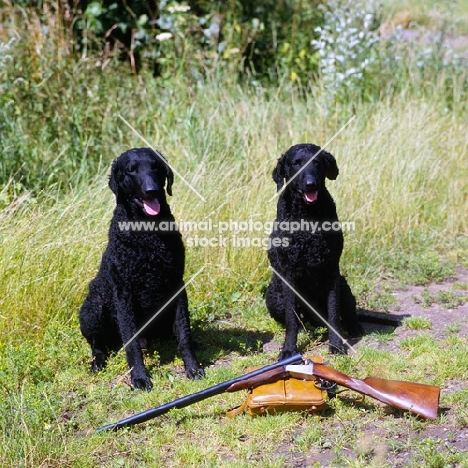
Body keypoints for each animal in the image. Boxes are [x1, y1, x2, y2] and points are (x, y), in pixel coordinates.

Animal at [79, 148, 204, 390]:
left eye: (155, 167)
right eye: (131, 170)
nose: (151, 190)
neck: (148, 233)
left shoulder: (177, 285)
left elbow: (184, 335)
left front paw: (193, 368)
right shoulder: (123, 294)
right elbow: (132, 343)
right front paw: (139, 377)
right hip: (93, 308)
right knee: (98, 345)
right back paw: (98, 362)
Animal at [266, 144, 364, 358]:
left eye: (317, 162)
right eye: (296, 163)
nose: (310, 184)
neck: (307, 217)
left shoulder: (332, 269)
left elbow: (334, 315)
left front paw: (336, 345)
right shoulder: (289, 274)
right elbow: (291, 319)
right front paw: (289, 349)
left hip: (343, 286)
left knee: (347, 313)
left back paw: (354, 327)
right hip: (274, 298)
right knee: (299, 319)